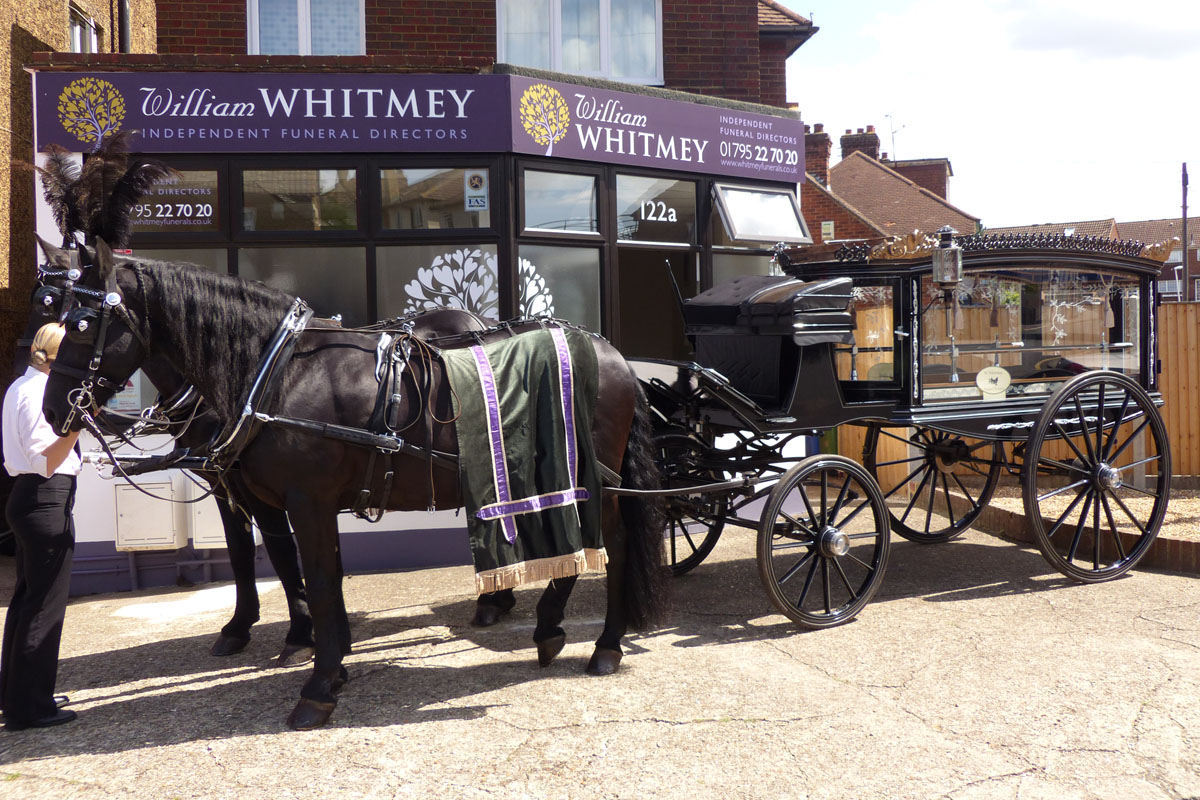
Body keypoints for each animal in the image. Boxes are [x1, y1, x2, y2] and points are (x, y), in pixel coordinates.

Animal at [42, 239, 672, 734]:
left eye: (82, 323)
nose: (53, 409)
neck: (280, 371)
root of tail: (613, 353)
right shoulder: (279, 498)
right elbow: (304, 573)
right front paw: (327, 658)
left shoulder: (305, 502)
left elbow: (315, 580)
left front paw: (317, 685)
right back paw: (546, 628)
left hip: (595, 481)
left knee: (613, 547)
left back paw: (605, 645)